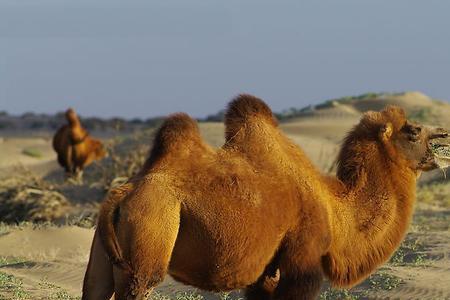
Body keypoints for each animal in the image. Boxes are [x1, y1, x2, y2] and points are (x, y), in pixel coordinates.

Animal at [81, 95, 446, 298]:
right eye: (413, 131)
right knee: (142, 283)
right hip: (150, 239)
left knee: (94, 289)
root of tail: (122, 192)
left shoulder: (264, 274)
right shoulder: (303, 264)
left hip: (102, 252)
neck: (334, 207)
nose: (443, 133)